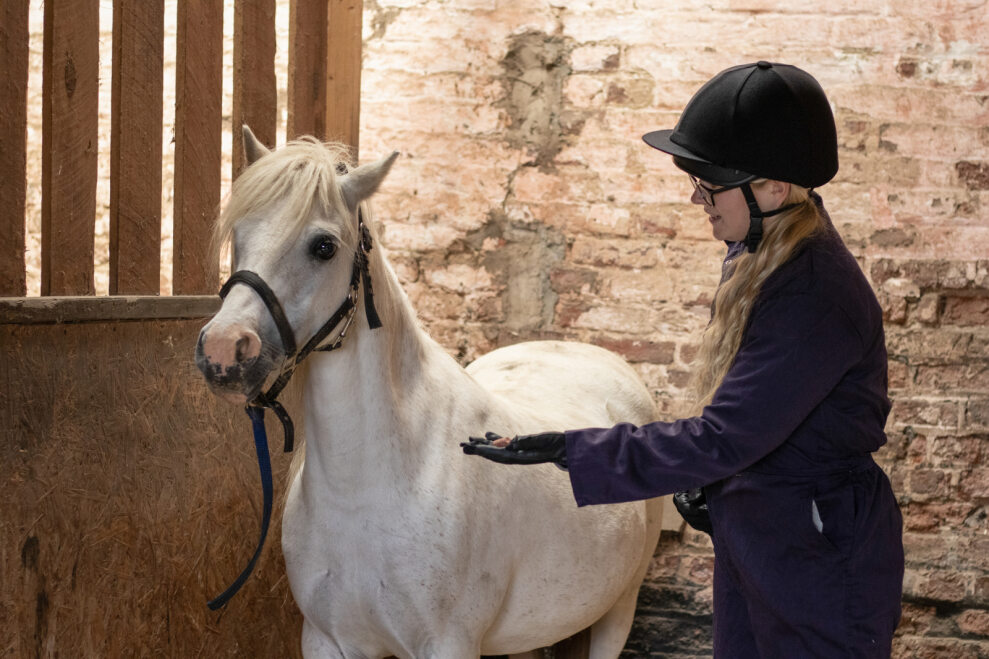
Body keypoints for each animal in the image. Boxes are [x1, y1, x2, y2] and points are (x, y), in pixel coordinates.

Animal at [195, 126, 663, 659]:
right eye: (239, 234)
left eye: (324, 246)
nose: (223, 350)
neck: (368, 488)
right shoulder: (328, 641)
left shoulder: (447, 643)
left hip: (619, 608)